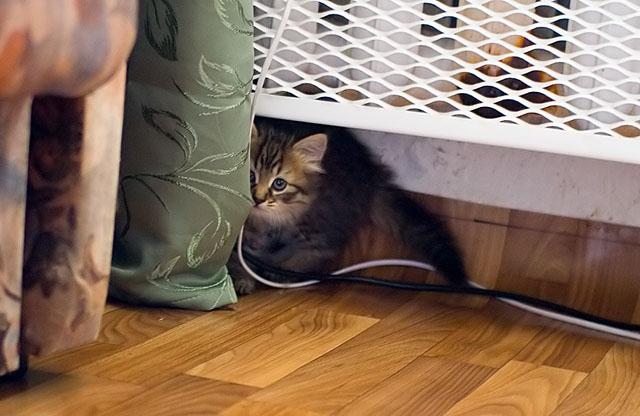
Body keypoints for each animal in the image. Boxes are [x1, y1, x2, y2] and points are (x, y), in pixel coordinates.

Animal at [227, 117, 468, 295]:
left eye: (279, 184)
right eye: (250, 176)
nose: (257, 198)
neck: (262, 222)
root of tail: (369, 171)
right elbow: (238, 257)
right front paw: (242, 278)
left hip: (321, 217)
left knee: (321, 249)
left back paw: (285, 272)